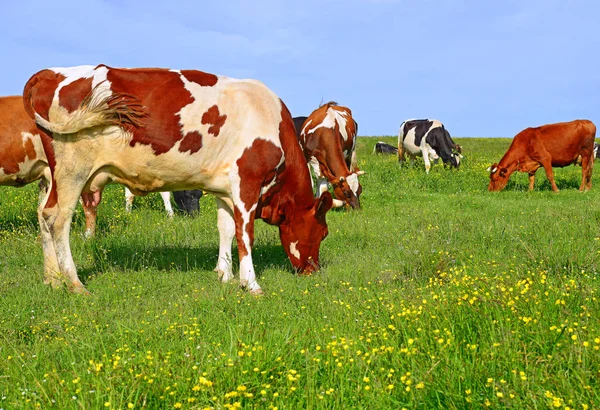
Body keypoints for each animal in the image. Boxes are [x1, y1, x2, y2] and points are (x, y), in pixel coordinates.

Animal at [24, 64, 332, 294]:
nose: (313, 270)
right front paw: (251, 283)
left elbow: (225, 229)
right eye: (323, 232)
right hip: (72, 170)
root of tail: (51, 72)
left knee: (43, 214)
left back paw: (52, 279)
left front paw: (225, 274)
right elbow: (245, 234)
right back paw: (74, 283)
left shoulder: (224, 189)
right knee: (58, 219)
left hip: (53, 175)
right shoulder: (247, 182)